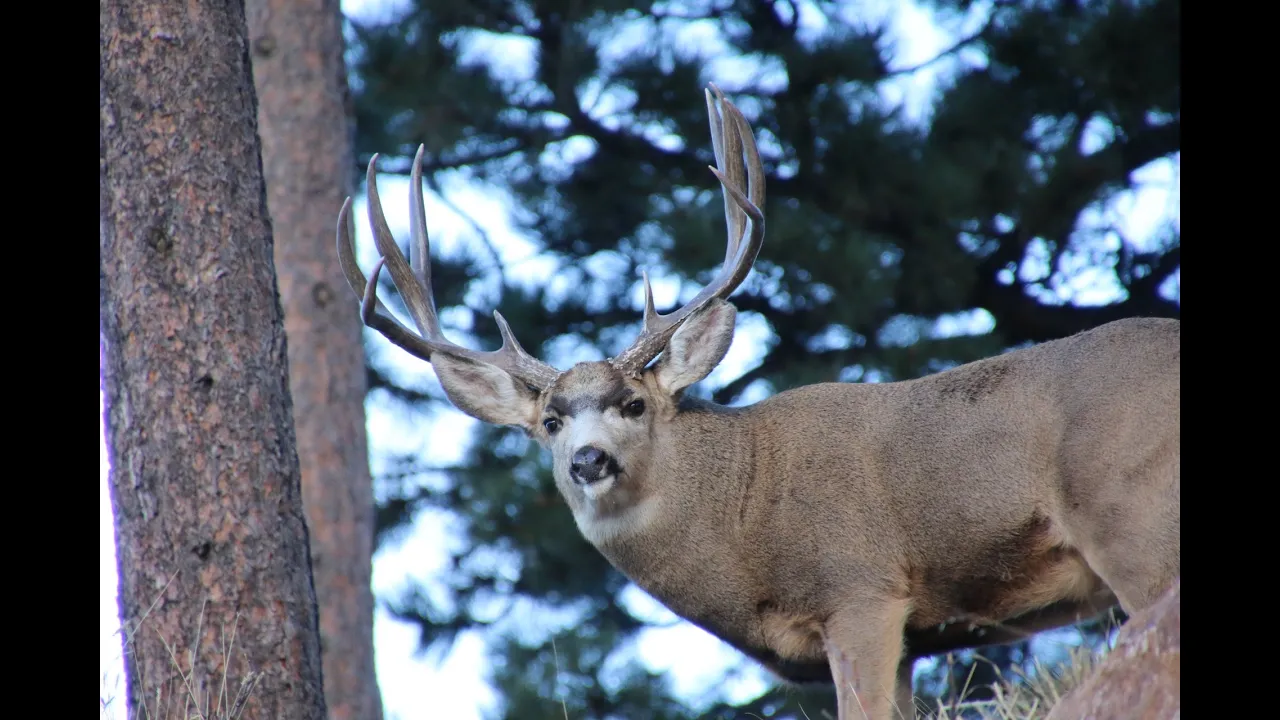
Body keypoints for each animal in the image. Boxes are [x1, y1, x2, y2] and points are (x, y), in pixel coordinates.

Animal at [336, 85, 1180, 720]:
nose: (587, 460)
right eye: (549, 421)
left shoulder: (862, 591)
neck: (743, 522)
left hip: (1129, 512)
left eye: (632, 404)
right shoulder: (914, 637)